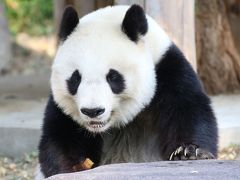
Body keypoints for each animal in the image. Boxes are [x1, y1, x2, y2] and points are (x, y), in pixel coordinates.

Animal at [37, 4, 218, 179]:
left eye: (113, 76)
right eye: (75, 78)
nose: (92, 111)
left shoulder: (167, 69)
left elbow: (190, 110)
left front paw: (190, 152)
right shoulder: (61, 108)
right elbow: (58, 137)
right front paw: (75, 166)